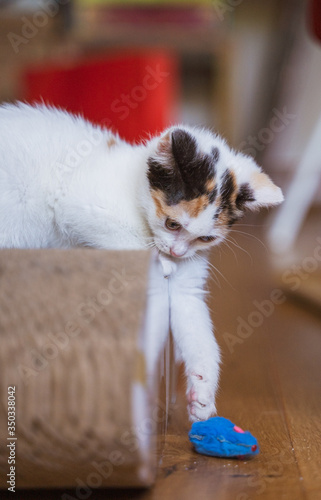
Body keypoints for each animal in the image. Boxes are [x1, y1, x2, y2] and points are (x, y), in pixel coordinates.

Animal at [0, 102, 282, 422]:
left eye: (206, 238)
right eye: (172, 224)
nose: (177, 252)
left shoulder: (188, 282)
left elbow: (193, 319)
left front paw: (203, 392)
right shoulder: (76, 204)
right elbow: (118, 236)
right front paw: (158, 262)